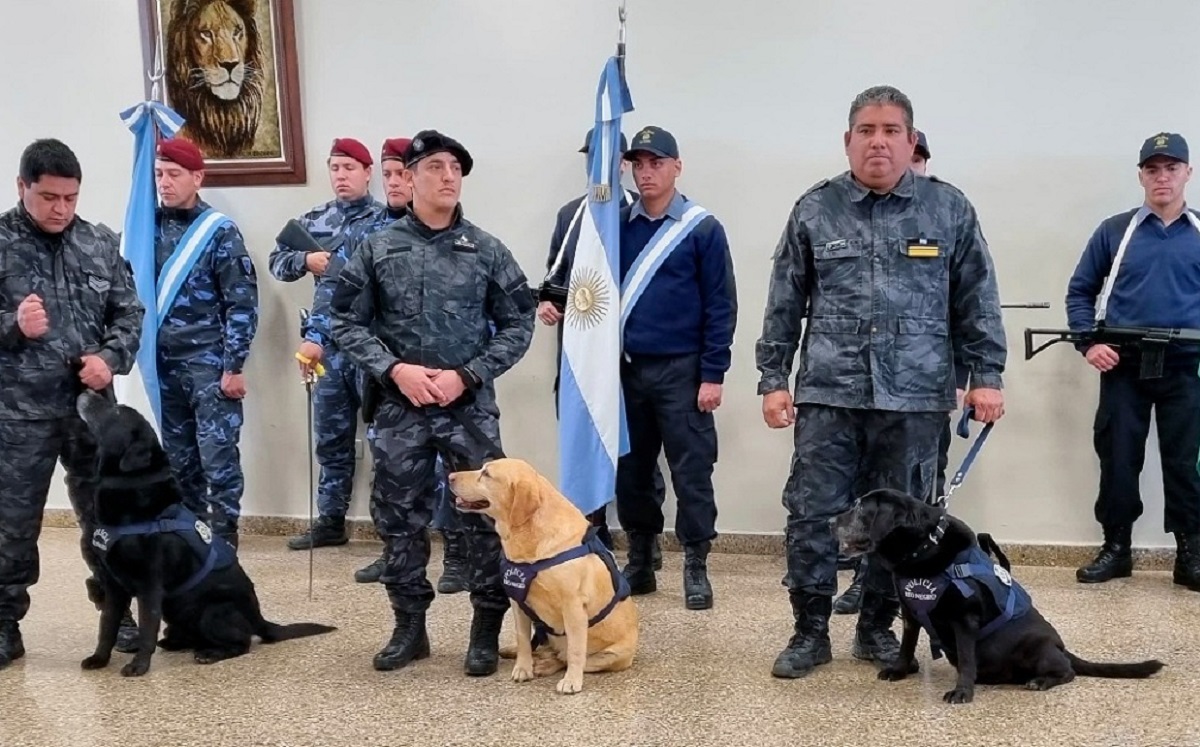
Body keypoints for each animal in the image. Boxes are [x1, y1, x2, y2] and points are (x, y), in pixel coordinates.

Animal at [75, 391, 336, 677]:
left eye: (117, 411)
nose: (87, 391)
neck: (130, 487)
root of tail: (259, 618)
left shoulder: (149, 587)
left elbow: (146, 630)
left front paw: (139, 666)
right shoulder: (113, 586)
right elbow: (107, 627)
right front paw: (99, 659)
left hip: (210, 611)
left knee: (242, 643)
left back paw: (210, 653)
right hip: (176, 608)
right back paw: (176, 641)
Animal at [448, 463, 638, 696]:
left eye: (486, 474)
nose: (449, 476)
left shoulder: (573, 607)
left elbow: (575, 651)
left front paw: (572, 681)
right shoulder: (518, 602)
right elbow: (522, 639)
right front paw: (523, 668)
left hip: (611, 656)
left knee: (565, 657)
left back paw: (547, 664)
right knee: (545, 648)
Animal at [835, 489, 1161, 706]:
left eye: (859, 508)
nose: (829, 521)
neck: (923, 548)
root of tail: (1062, 648)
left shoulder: (964, 619)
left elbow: (967, 659)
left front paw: (962, 692)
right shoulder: (911, 614)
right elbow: (906, 647)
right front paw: (899, 671)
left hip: (1036, 647)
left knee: (1067, 672)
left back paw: (1041, 681)